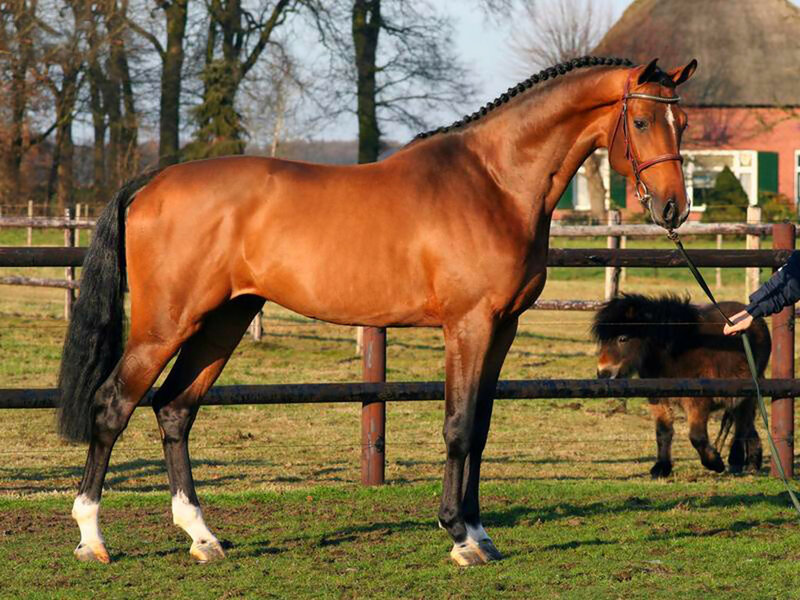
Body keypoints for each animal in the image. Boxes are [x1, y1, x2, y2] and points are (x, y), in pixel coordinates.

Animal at [58, 56, 696, 567]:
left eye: (683, 123)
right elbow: (459, 427)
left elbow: (482, 429)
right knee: (114, 406)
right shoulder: (468, 326)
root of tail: (152, 182)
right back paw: (91, 538)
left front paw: (481, 533)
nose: (673, 209)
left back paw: (202, 537)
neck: (494, 182)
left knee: (174, 410)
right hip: (166, 325)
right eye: (642, 121)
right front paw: (460, 537)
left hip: (224, 321)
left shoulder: (503, 329)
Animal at [592, 294, 770, 478]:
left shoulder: (697, 401)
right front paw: (661, 468)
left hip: (746, 393)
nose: (603, 373)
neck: (676, 352)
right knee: (746, 424)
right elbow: (663, 431)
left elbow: (696, 436)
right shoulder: (658, 398)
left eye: (623, 338)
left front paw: (715, 463)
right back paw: (752, 462)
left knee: (741, 425)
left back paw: (736, 460)